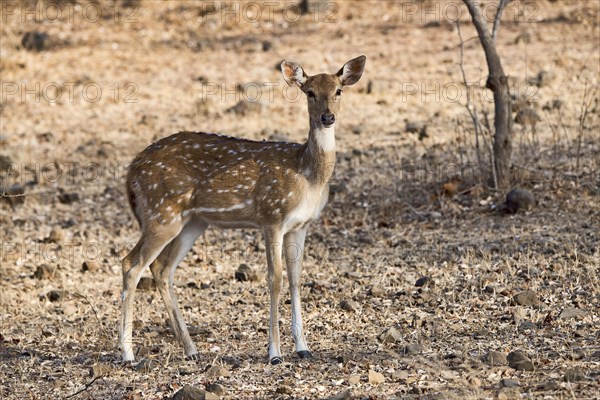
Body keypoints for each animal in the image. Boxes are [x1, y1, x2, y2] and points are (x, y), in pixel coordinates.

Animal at [119, 54, 366, 364]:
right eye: (310, 92)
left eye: (338, 91)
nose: (327, 117)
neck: (307, 175)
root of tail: (131, 171)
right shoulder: (272, 216)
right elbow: (275, 279)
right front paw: (274, 353)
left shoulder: (301, 226)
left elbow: (296, 279)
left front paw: (303, 347)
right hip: (161, 212)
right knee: (131, 264)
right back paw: (127, 354)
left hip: (192, 221)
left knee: (162, 268)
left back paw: (191, 349)